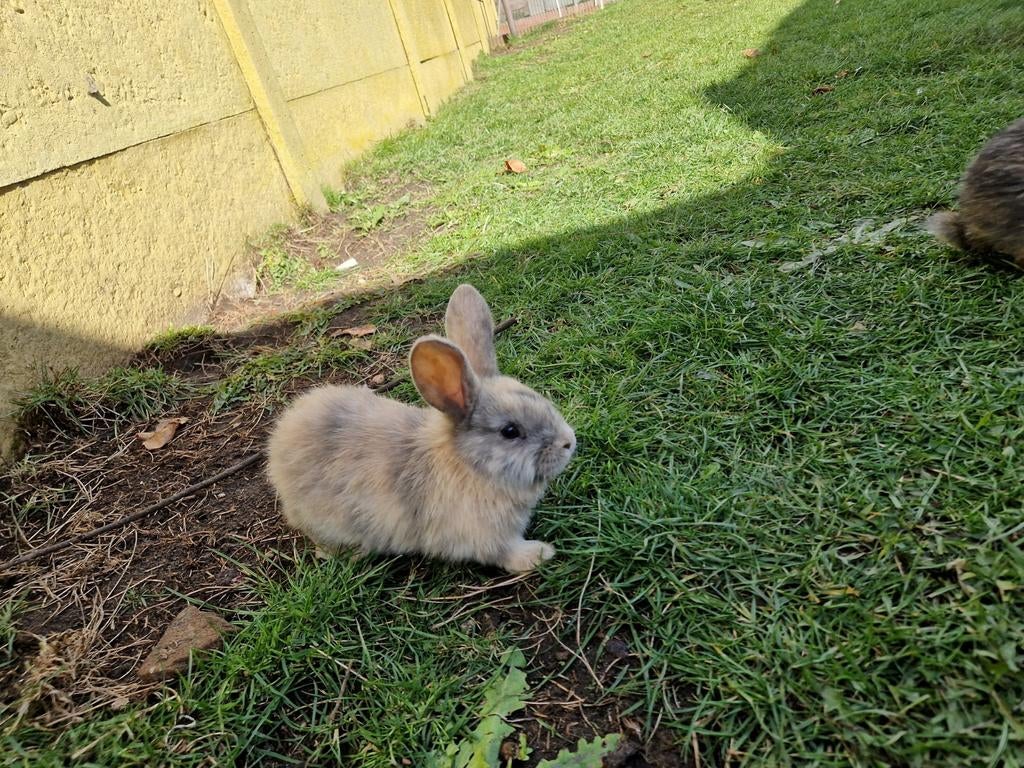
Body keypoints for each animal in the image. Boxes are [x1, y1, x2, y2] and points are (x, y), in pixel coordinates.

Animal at [266, 284, 577, 573]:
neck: (471, 466)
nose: (569, 442)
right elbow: (505, 553)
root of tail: (278, 444)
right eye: (510, 431)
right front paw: (540, 553)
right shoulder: (488, 538)